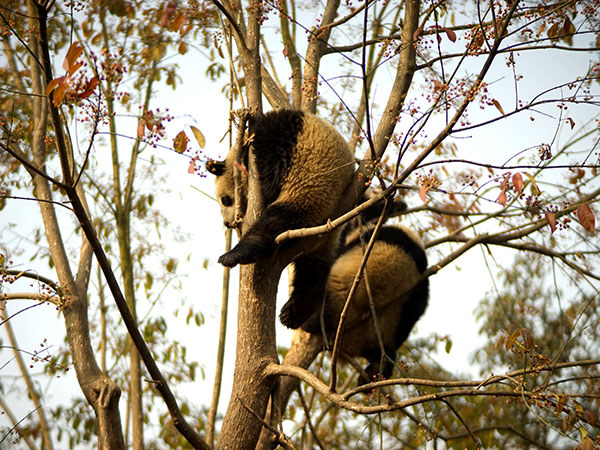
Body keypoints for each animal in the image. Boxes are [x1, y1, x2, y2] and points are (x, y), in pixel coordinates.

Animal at [206, 109, 356, 326]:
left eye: (225, 200)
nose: (227, 223)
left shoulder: (280, 135)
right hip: (323, 233)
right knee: (313, 269)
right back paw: (295, 311)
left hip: (312, 192)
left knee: (275, 221)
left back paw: (236, 254)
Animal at [302, 220, 428, 382]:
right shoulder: (420, 286)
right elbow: (416, 310)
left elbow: (338, 250)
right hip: (375, 335)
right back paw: (378, 366)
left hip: (336, 299)